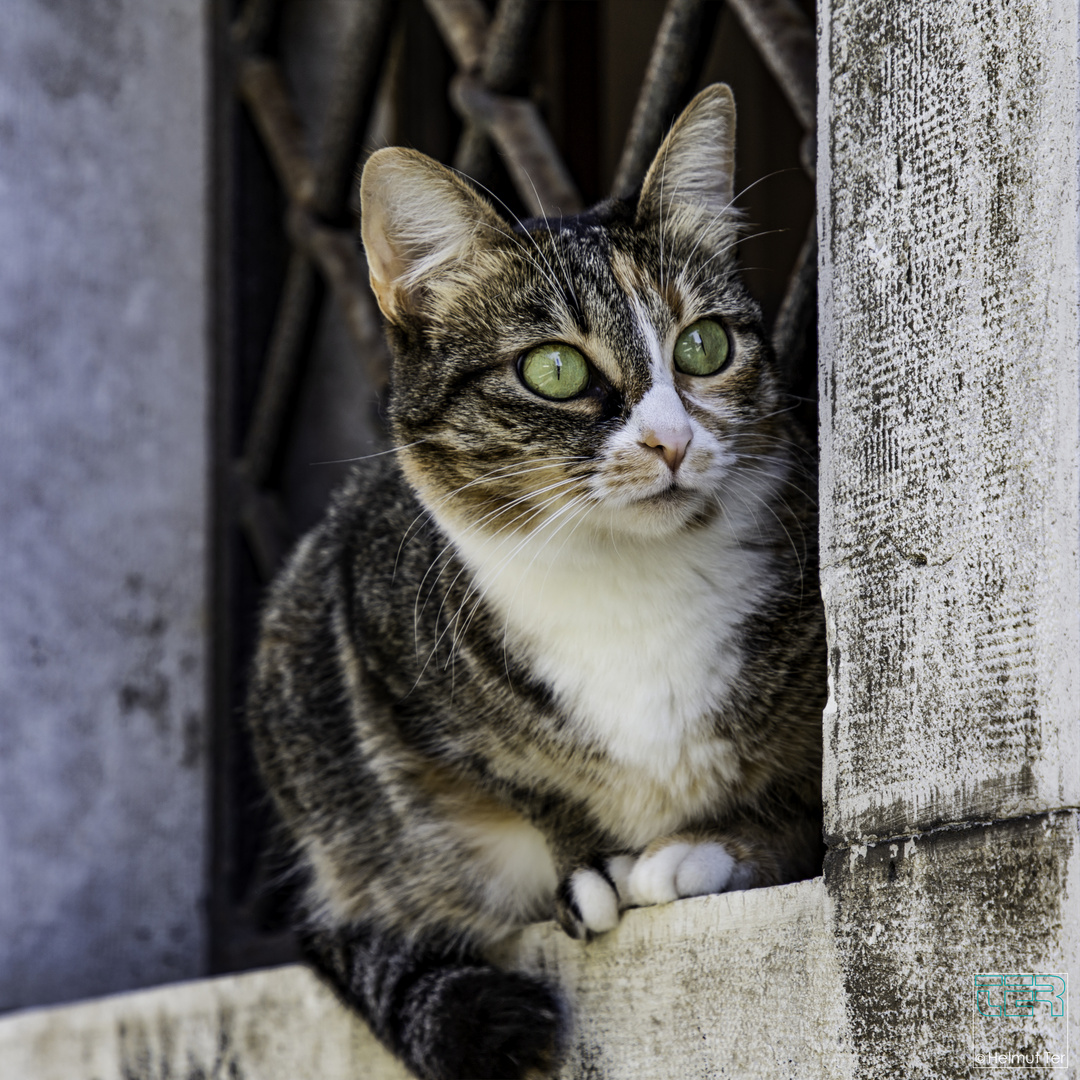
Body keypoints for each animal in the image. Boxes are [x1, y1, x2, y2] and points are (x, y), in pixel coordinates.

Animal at [248, 86, 825, 1080]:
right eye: (554, 369)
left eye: (705, 346)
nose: (672, 440)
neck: (631, 588)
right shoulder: (370, 630)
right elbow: (517, 776)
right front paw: (585, 862)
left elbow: (804, 794)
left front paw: (709, 847)